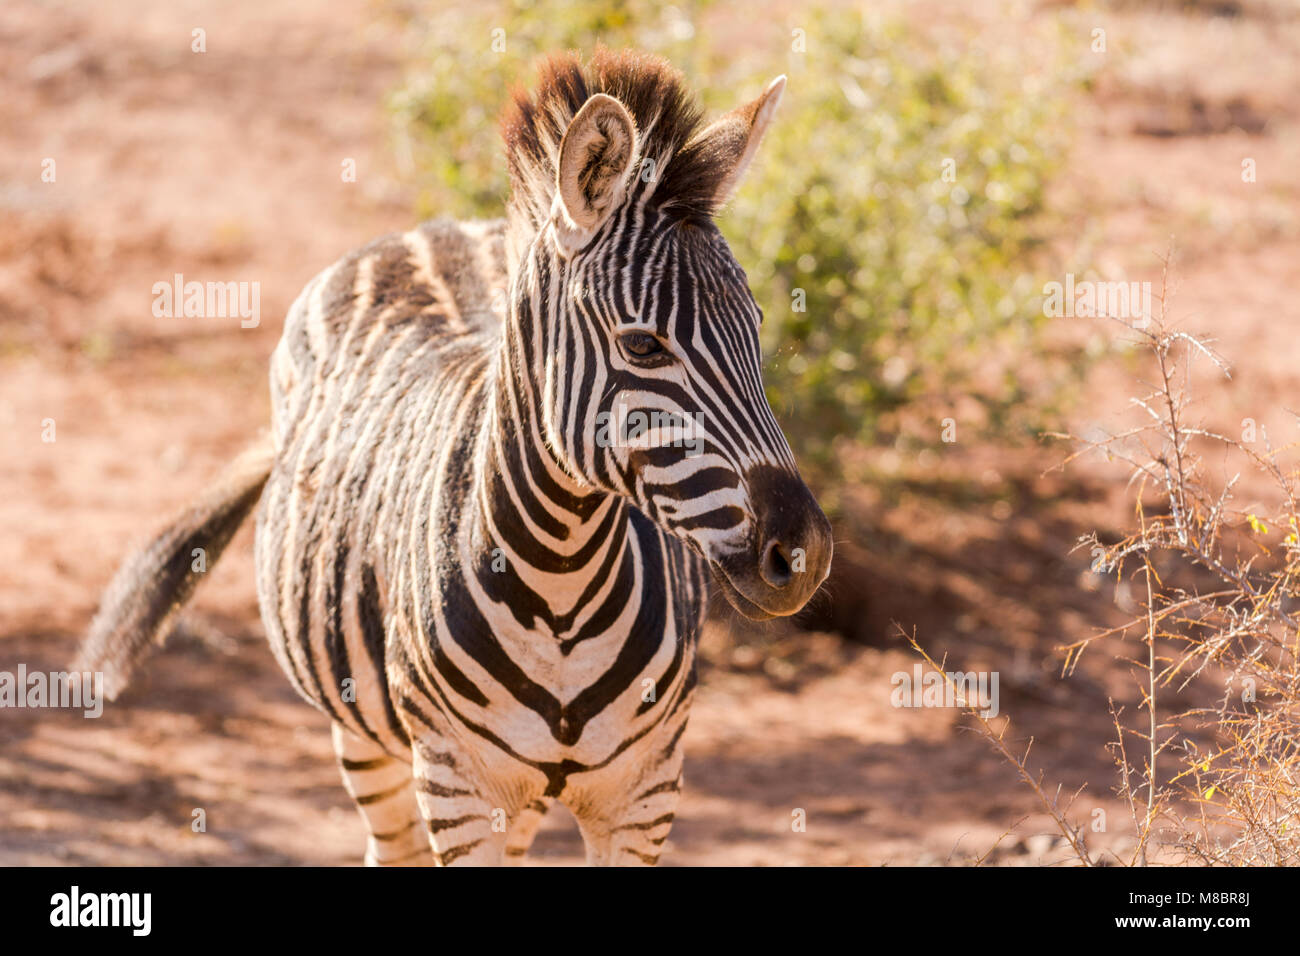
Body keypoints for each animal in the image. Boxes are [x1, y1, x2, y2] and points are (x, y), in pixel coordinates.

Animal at [78, 49, 832, 866]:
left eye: (757, 326)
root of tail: (431, 229)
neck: (564, 587)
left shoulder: (644, 794)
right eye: (641, 345)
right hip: (364, 734)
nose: (805, 554)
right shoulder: (457, 786)